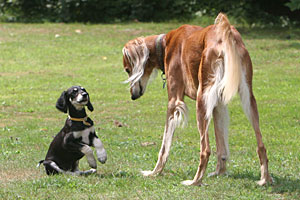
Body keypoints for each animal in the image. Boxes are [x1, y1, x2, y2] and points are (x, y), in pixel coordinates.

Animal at [121, 13, 272, 186]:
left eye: (127, 70)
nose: (133, 96)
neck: (165, 44)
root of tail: (224, 35)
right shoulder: (218, 104)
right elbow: (221, 144)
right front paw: (220, 172)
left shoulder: (174, 102)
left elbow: (164, 146)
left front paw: (154, 172)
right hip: (248, 98)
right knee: (261, 145)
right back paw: (265, 179)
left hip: (202, 99)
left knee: (205, 149)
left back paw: (195, 181)